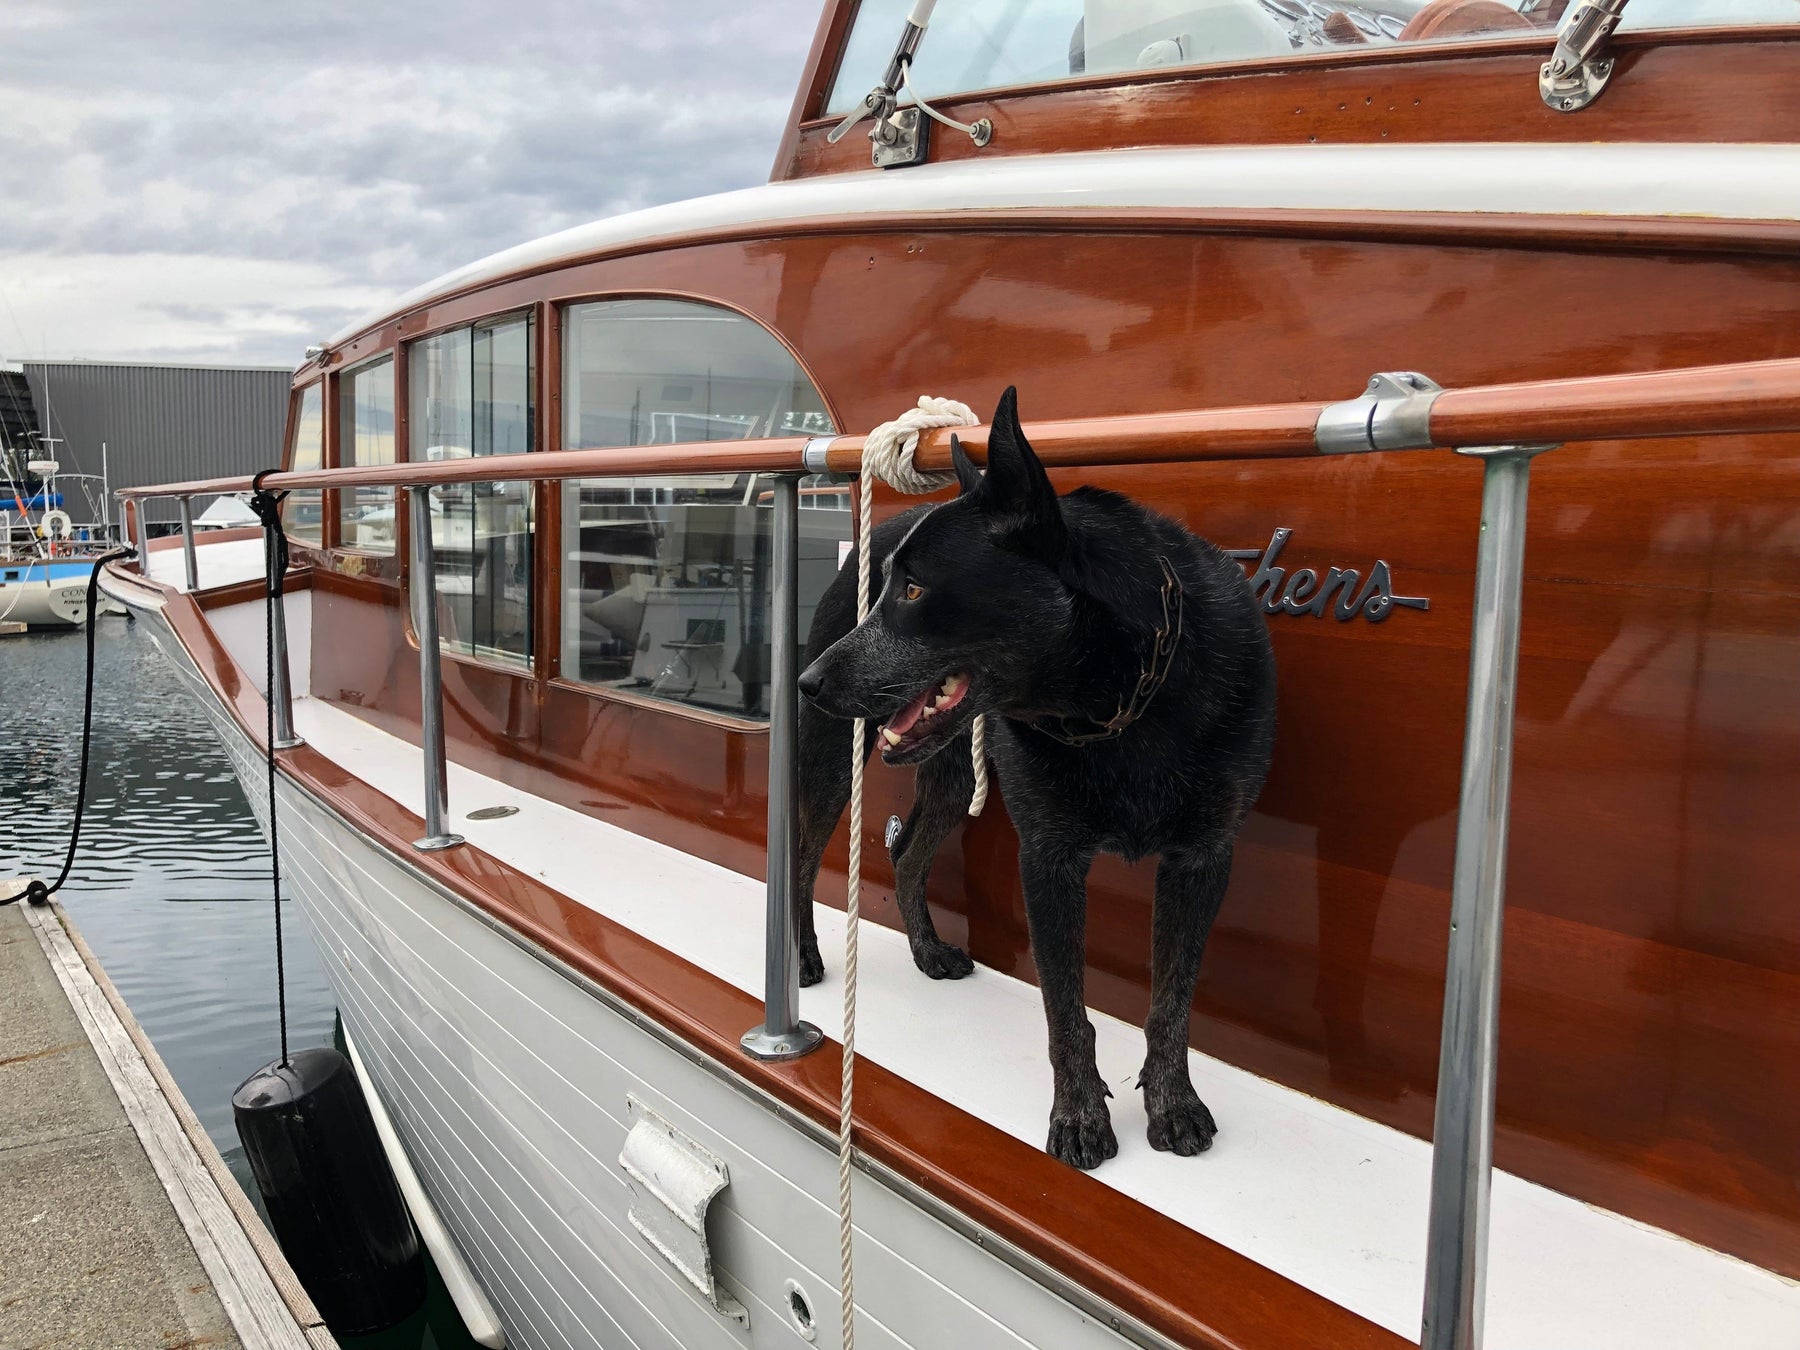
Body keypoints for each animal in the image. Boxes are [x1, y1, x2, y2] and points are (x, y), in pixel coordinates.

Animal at [795, 385, 1274, 1166]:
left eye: (915, 589)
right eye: (888, 587)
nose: (808, 681)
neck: (1121, 701)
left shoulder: (1202, 858)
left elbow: (1172, 1002)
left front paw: (1172, 1102)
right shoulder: (1049, 859)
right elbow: (1065, 1009)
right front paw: (1079, 1117)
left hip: (949, 772)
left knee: (906, 850)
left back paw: (927, 949)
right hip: (835, 758)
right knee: (802, 858)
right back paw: (802, 956)